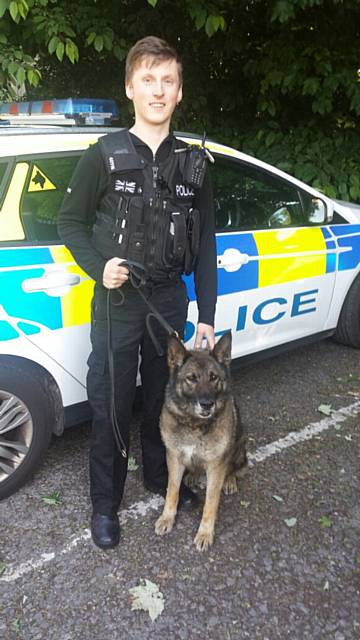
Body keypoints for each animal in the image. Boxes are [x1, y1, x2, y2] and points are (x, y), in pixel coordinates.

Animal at [155, 330, 248, 552]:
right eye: (192, 378)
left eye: (213, 377)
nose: (207, 404)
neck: (194, 424)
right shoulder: (174, 458)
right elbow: (172, 491)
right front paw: (167, 517)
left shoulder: (216, 466)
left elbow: (210, 503)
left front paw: (205, 533)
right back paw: (193, 475)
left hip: (240, 444)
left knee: (234, 468)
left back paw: (229, 480)